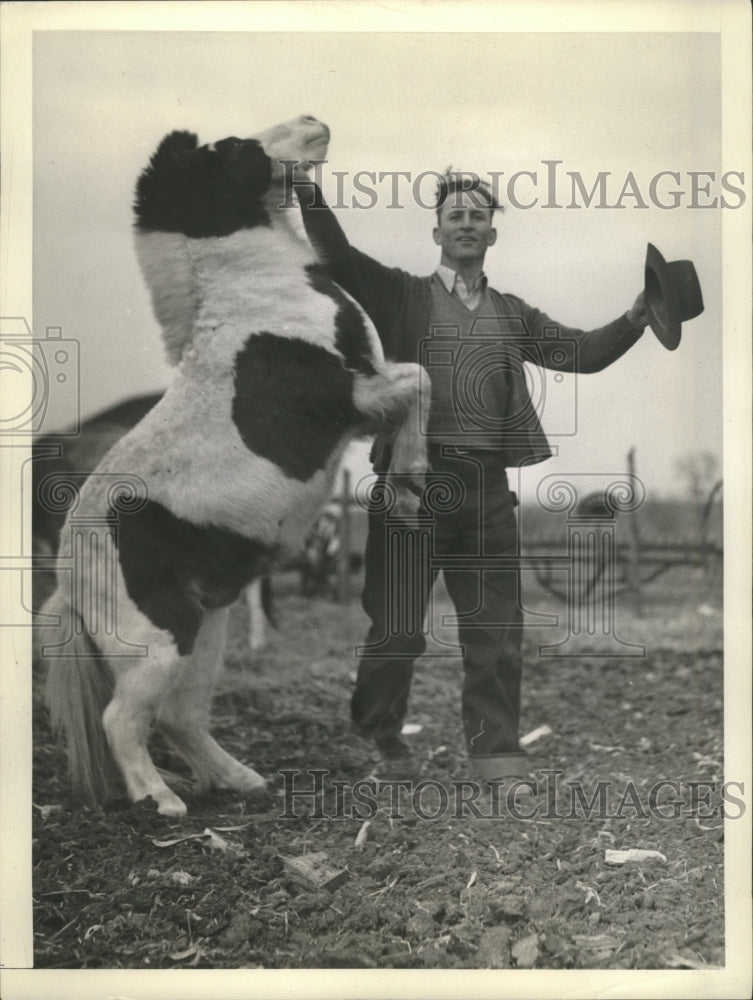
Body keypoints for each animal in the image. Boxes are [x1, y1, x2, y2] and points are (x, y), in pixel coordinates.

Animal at [42, 119, 428, 820]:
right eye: (232, 150)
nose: (315, 125)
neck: (260, 295)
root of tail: (69, 577)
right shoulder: (358, 395)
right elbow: (421, 381)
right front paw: (412, 482)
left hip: (207, 631)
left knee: (180, 717)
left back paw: (241, 781)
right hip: (161, 640)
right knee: (123, 719)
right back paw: (160, 802)